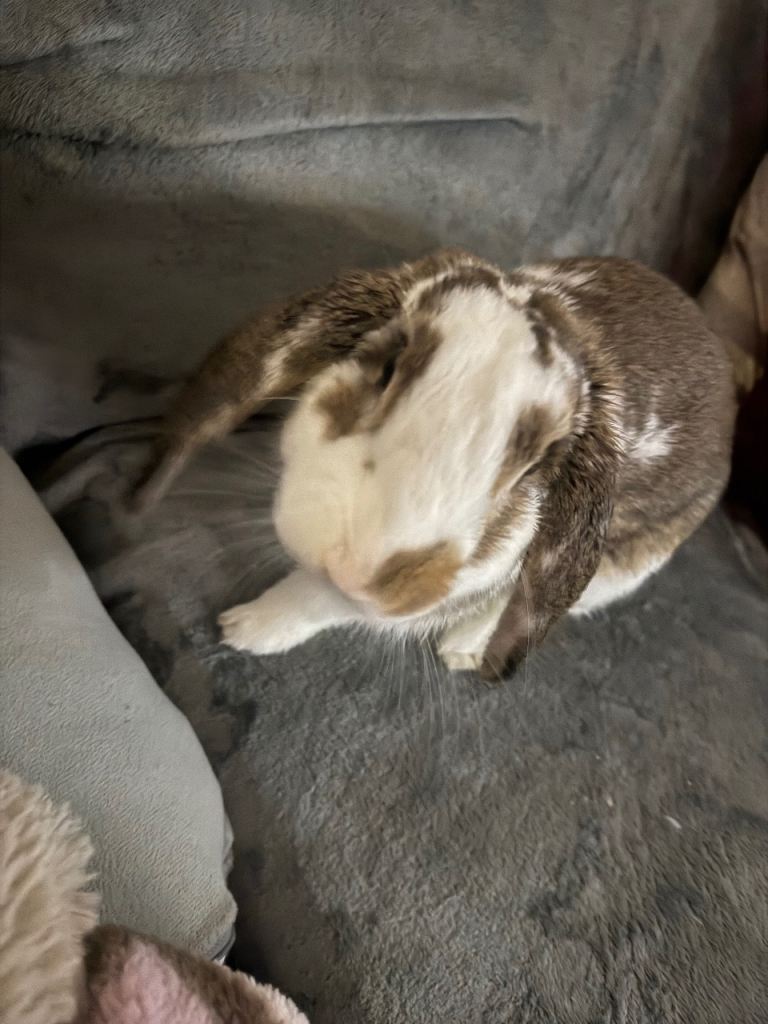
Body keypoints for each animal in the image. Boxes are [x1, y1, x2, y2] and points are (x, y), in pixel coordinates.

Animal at [132, 249, 735, 677]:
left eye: (533, 471)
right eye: (386, 367)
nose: (364, 572)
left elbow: (315, 602)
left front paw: (243, 629)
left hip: (621, 568)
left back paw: (462, 650)